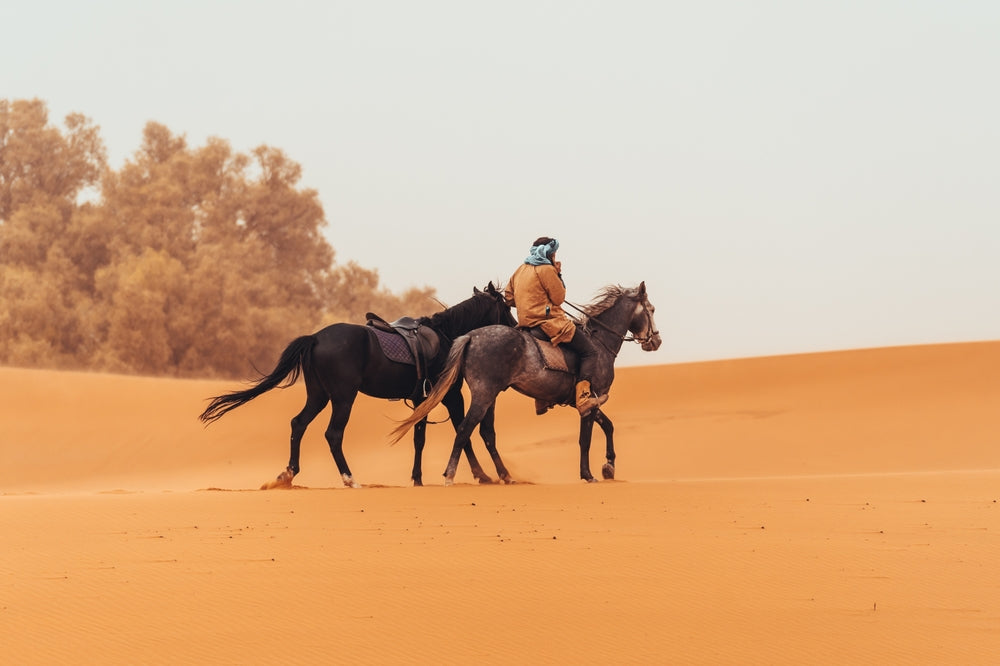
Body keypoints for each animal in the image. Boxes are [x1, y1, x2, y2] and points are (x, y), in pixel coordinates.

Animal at [199, 283, 517, 488]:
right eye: (503, 305)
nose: (516, 327)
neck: (447, 336)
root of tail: (316, 338)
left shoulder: (421, 399)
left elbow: (420, 438)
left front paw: (417, 478)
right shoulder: (451, 395)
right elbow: (463, 432)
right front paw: (481, 475)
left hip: (318, 395)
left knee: (298, 424)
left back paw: (288, 474)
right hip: (342, 398)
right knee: (332, 434)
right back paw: (349, 478)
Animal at [390, 282, 661, 484]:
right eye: (652, 309)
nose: (655, 341)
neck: (600, 342)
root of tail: (470, 337)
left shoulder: (588, 401)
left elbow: (609, 426)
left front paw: (609, 466)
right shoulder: (589, 402)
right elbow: (585, 439)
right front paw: (588, 474)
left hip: (489, 396)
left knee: (485, 433)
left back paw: (503, 476)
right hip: (484, 395)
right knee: (465, 430)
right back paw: (453, 475)